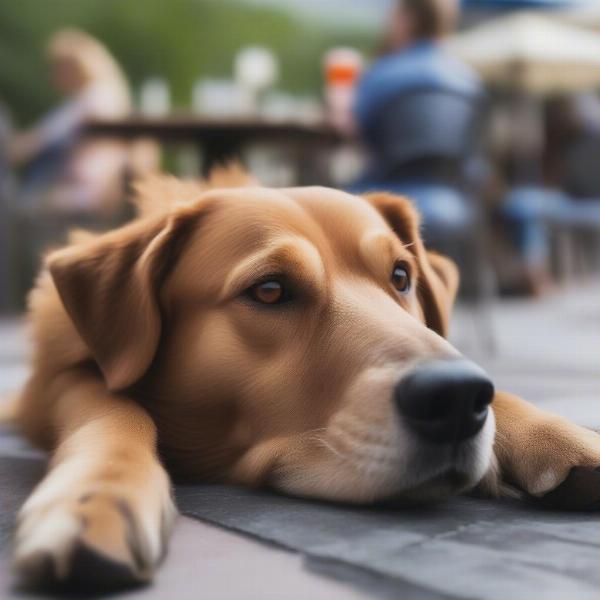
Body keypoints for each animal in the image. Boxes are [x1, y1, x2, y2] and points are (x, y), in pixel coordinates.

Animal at [7, 170, 600, 592]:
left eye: (401, 277)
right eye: (269, 290)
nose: (454, 397)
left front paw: (560, 435)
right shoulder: (55, 382)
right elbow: (110, 405)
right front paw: (97, 497)